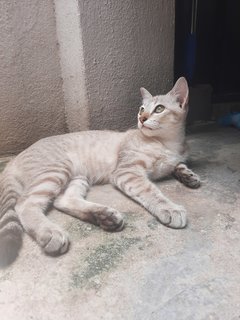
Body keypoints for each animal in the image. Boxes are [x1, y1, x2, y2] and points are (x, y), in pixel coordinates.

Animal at [0, 78, 201, 268]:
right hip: (57, 170)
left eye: (159, 108)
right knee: (24, 203)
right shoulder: (127, 171)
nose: (141, 118)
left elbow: (178, 165)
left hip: (77, 177)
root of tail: (14, 159)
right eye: (141, 109)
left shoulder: (173, 159)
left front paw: (189, 176)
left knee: (63, 200)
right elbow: (150, 191)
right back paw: (50, 232)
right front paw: (170, 208)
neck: (167, 144)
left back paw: (105, 216)